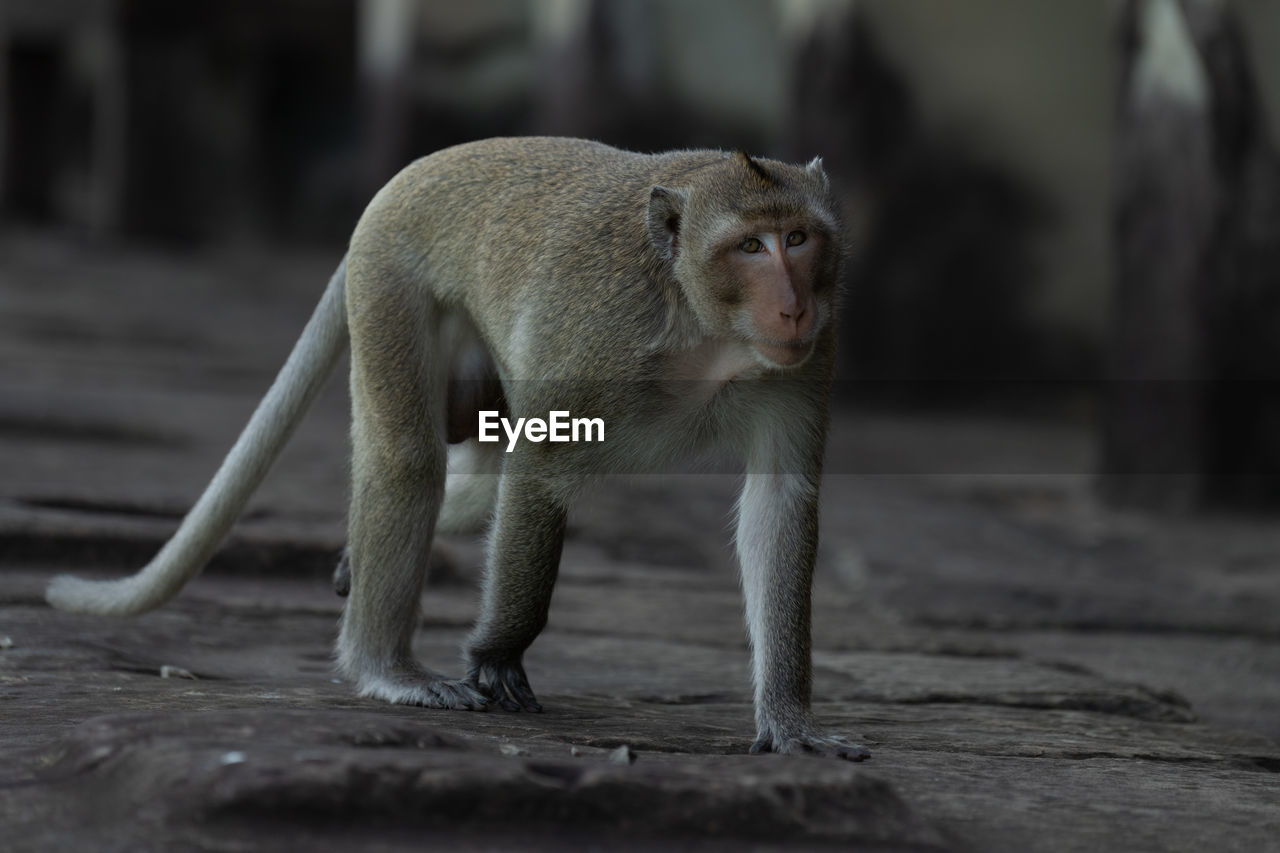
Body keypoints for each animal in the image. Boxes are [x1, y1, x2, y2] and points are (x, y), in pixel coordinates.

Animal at [49, 137, 870, 758]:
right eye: (751, 246)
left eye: (800, 239)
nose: (794, 304)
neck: (700, 325)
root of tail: (413, 172)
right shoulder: (594, 340)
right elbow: (539, 471)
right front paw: (499, 652)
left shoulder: (812, 356)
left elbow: (779, 502)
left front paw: (790, 721)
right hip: (390, 280)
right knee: (412, 458)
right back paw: (386, 667)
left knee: (475, 473)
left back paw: (354, 559)